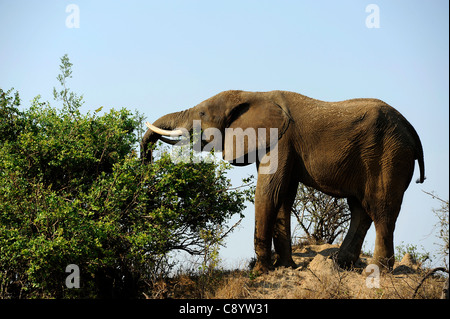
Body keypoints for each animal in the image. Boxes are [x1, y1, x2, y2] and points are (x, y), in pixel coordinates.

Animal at [142, 90, 426, 276]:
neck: (253, 93)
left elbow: (269, 192)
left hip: (390, 155)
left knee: (382, 209)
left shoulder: (281, 140)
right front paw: (285, 267)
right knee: (360, 208)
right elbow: (284, 196)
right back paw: (339, 265)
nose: (147, 168)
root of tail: (412, 130)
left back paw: (377, 271)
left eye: (202, 113)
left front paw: (260, 271)